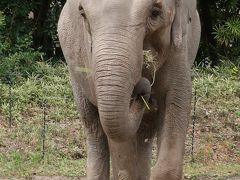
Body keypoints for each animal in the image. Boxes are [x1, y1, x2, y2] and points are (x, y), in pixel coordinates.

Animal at [57, 0, 201, 179]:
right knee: (94, 127)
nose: (143, 92)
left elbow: (176, 101)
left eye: (155, 12)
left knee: (144, 131)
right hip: (76, 78)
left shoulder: (178, 49)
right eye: (82, 13)